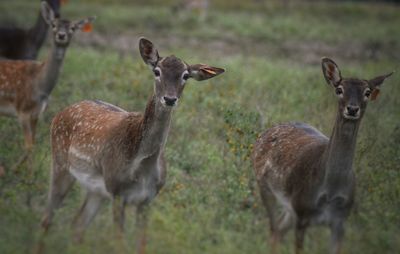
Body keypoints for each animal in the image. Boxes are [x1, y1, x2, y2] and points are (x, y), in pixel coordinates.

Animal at [39, 36, 225, 253]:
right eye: (156, 71)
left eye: (185, 75)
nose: (170, 99)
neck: (142, 169)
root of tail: (60, 113)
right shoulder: (117, 191)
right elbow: (119, 243)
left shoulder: (147, 199)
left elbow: (141, 244)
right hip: (61, 163)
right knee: (47, 217)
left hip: (96, 190)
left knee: (77, 223)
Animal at [252, 57, 392, 254]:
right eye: (339, 89)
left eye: (367, 92)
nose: (352, 109)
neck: (330, 192)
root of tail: (263, 134)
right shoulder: (302, 212)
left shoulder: (340, 220)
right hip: (266, 188)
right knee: (273, 229)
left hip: (289, 207)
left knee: (278, 230)